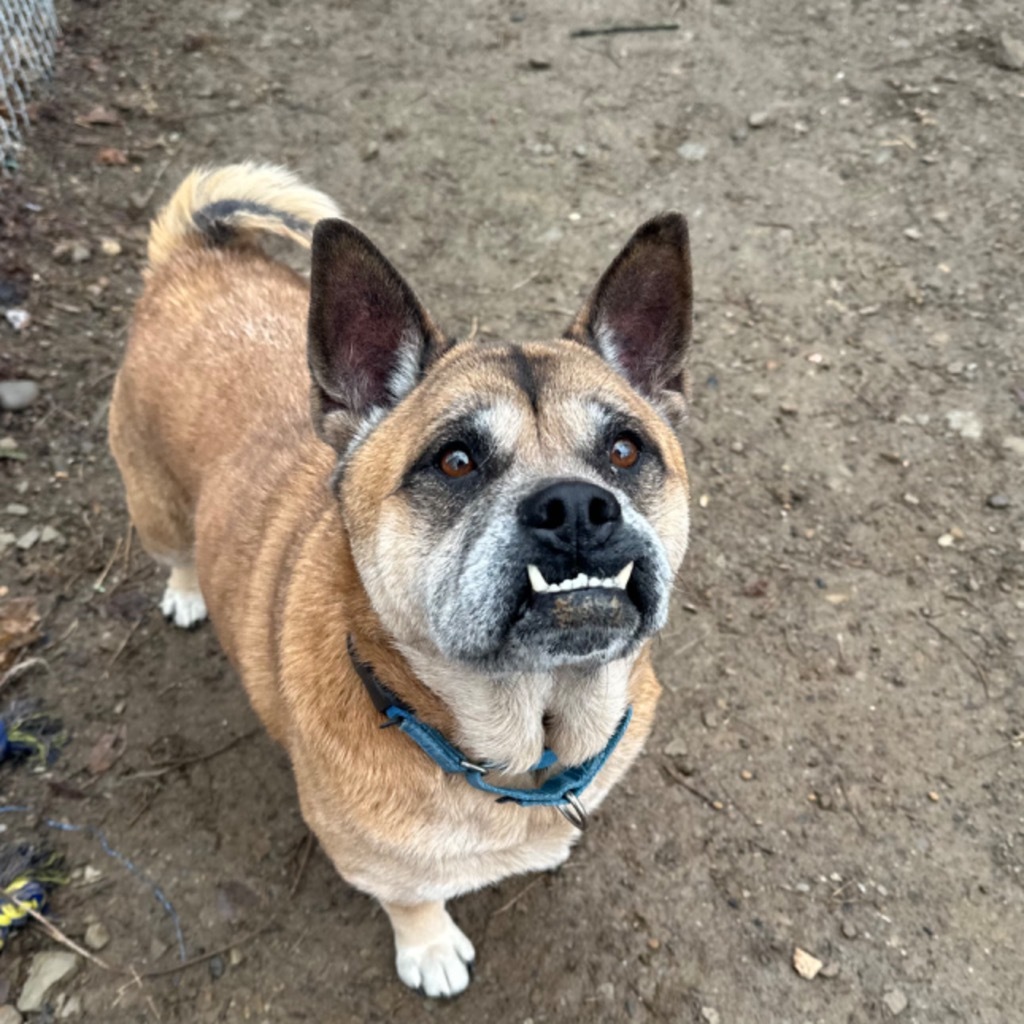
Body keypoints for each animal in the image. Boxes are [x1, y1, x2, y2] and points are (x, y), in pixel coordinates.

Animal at [108, 163, 692, 995]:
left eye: (624, 450)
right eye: (455, 461)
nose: (578, 509)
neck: (523, 742)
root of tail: (195, 256)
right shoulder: (371, 859)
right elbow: (412, 898)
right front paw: (431, 950)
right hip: (153, 503)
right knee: (175, 550)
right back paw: (186, 592)